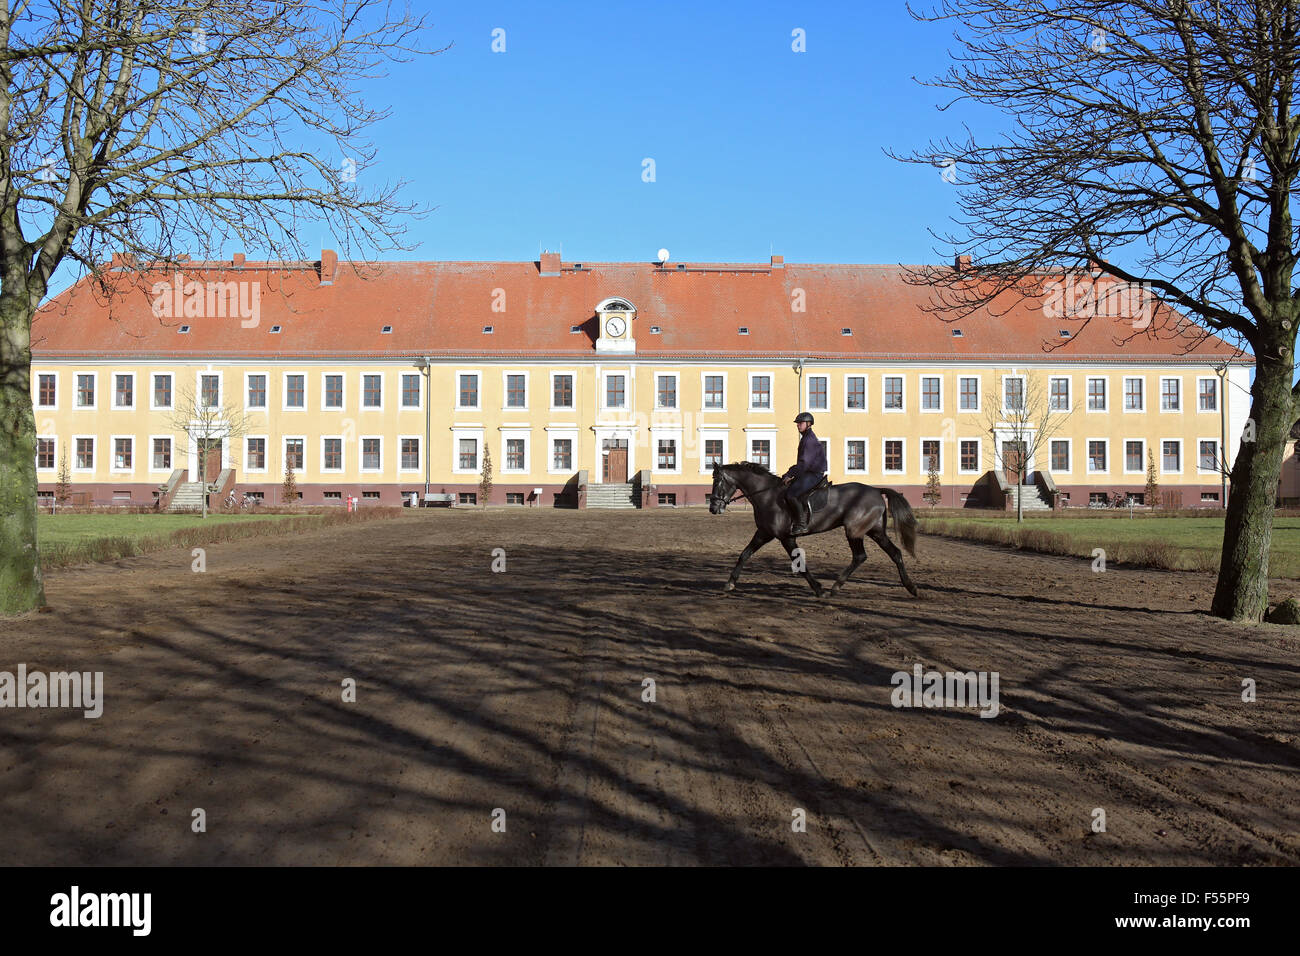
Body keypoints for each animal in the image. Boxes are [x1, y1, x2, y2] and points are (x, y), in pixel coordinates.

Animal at [712, 463, 915, 598]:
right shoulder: (764, 533)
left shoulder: (786, 537)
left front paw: (818, 589)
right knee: (894, 553)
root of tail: (876, 490)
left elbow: (800, 563)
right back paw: (911, 587)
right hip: (875, 531)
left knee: (860, 556)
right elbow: (744, 554)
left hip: (854, 531)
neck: (767, 495)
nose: (713, 508)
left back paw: (835, 587)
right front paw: (730, 583)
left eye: (718, 481)